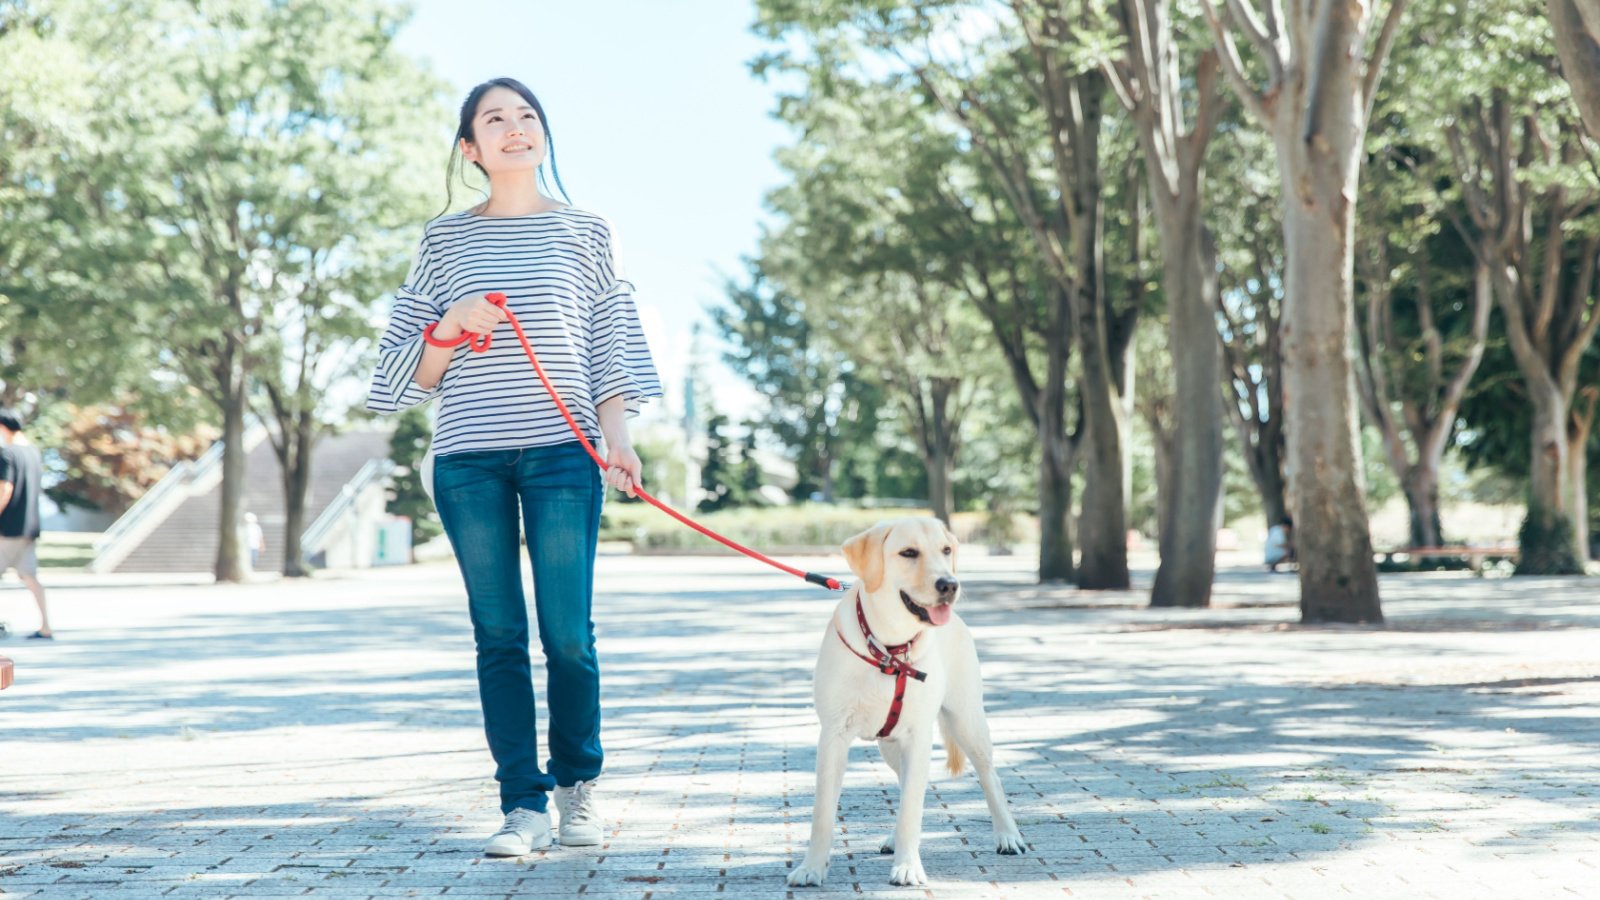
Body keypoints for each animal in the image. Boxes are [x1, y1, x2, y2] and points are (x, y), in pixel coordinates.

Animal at [787, 512, 1024, 883]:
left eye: (945, 550)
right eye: (908, 553)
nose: (950, 584)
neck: (889, 649)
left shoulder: (917, 737)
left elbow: (912, 806)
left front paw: (908, 866)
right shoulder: (833, 735)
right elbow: (823, 810)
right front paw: (811, 867)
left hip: (968, 721)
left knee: (990, 778)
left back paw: (1008, 835)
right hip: (890, 744)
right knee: (902, 784)